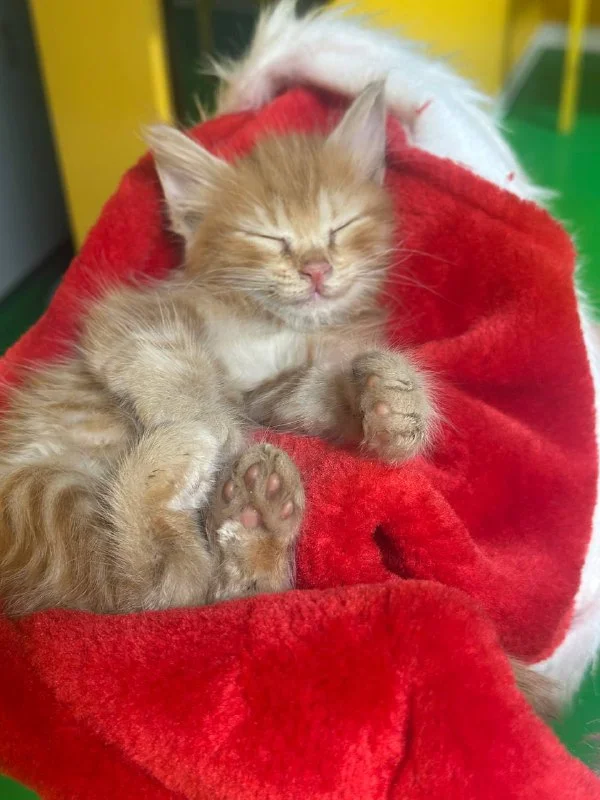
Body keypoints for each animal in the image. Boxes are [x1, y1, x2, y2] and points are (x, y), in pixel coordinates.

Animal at [0, 82, 434, 617]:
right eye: (267, 236)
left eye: (341, 225)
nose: (316, 269)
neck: (272, 322)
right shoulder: (131, 315)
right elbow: (169, 356)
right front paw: (206, 417)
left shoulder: (268, 392)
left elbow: (310, 395)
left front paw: (395, 403)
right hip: (38, 498)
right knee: (142, 591)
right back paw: (175, 456)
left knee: (186, 590)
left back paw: (256, 520)